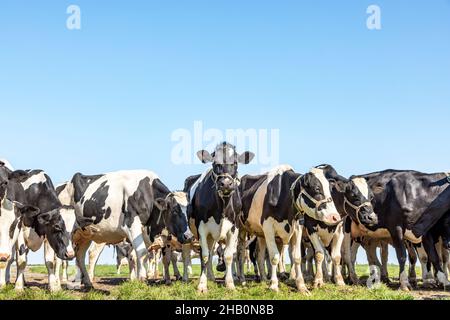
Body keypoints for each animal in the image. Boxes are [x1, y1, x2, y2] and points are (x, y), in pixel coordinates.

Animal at [62, 169, 192, 288]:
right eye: (174, 211)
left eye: (189, 211)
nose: (189, 236)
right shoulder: (131, 225)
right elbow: (142, 252)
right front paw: (142, 278)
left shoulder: (155, 235)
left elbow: (155, 257)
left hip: (86, 235)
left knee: (80, 255)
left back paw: (87, 282)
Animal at [186, 142, 255, 292]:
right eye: (214, 163)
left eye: (235, 163)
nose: (226, 184)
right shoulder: (202, 229)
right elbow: (205, 256)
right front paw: (202, 285)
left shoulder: (234, 228)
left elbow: (229, 255)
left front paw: (230, 284)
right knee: (210, 253)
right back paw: (210, 278)